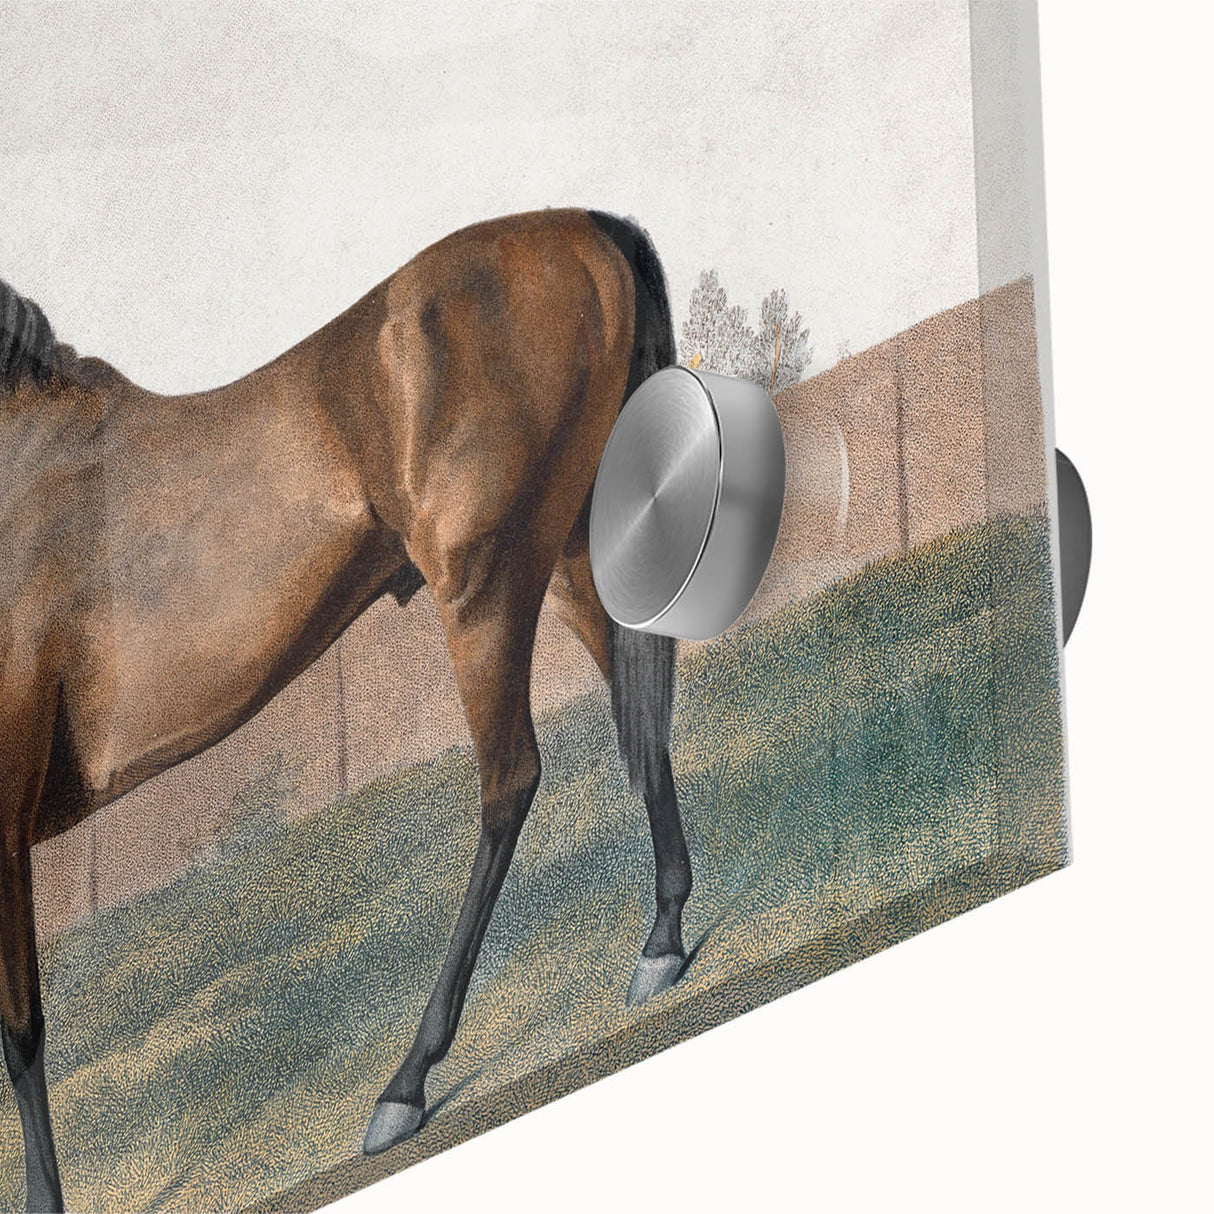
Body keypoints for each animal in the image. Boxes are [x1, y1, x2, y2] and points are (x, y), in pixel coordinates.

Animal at [0, 208, 693, 1211]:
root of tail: (580, 227)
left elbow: (21, 1031)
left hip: (486, 585)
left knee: (510, 782)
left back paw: (405, 1086)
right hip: (568, 555)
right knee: (634, 713)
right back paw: (664, 940)